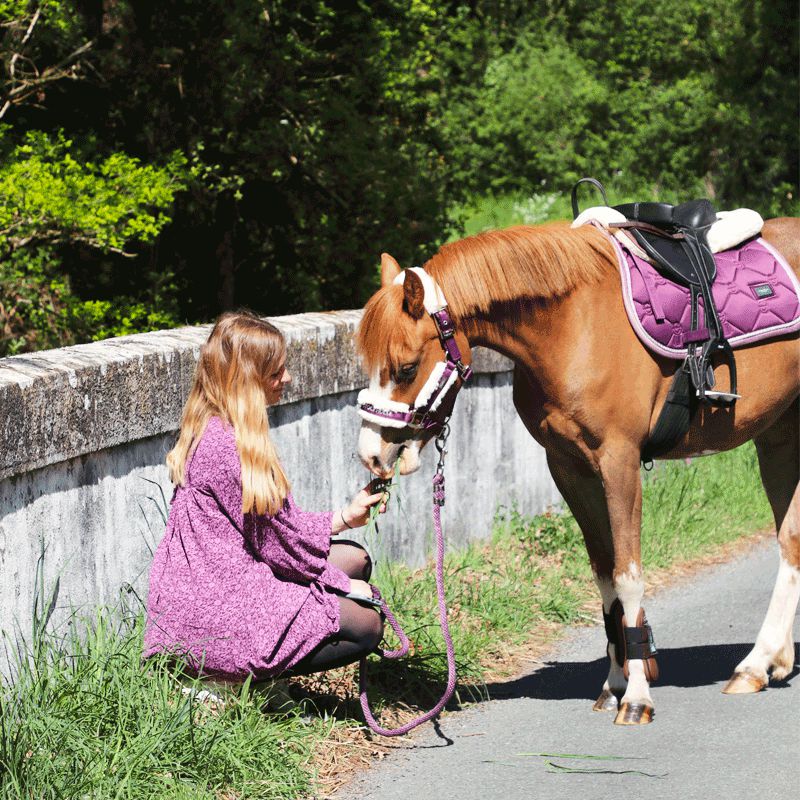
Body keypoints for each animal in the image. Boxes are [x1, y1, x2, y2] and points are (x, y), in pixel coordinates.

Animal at [356, 217, 800, 724]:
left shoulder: (619, 461)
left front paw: (637, 696)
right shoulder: (570, 468)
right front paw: (613, 683)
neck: (573, 325)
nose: (371, 455)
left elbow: (628, 576)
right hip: (779, 433)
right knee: (791, 542)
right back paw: (762, 663)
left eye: (407, 367)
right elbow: (604, 576)